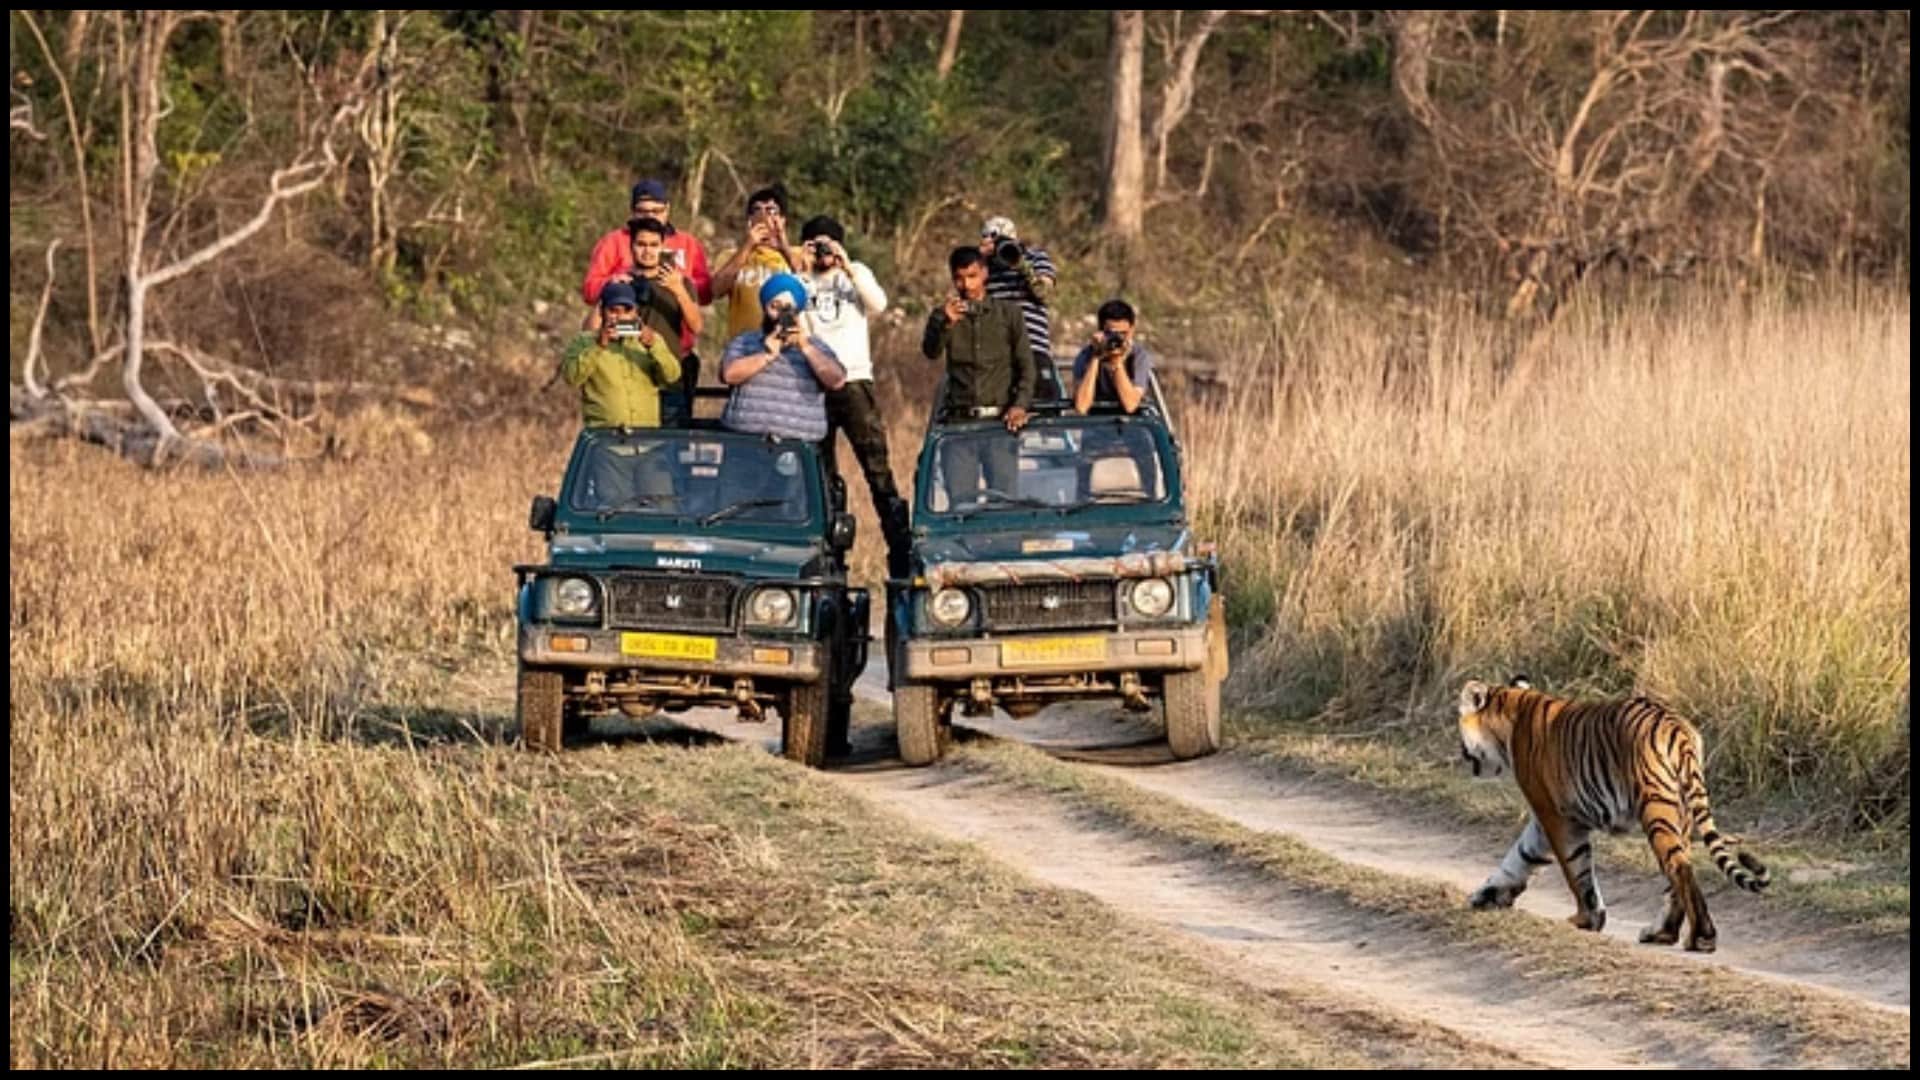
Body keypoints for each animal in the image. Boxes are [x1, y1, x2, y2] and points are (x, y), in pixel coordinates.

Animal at [1456, 675, 1771, 953]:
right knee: (1680, 872)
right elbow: (1521, 856)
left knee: (1679, 867)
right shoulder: (1547, 819)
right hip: (1681, 813)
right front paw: (1487, 895)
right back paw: (1662, 933)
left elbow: (1575, 869)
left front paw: (1586, 920)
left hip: (1656, 807)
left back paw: (1700, 938)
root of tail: (1676, 726)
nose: (1461, 754)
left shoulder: (1556, 815)